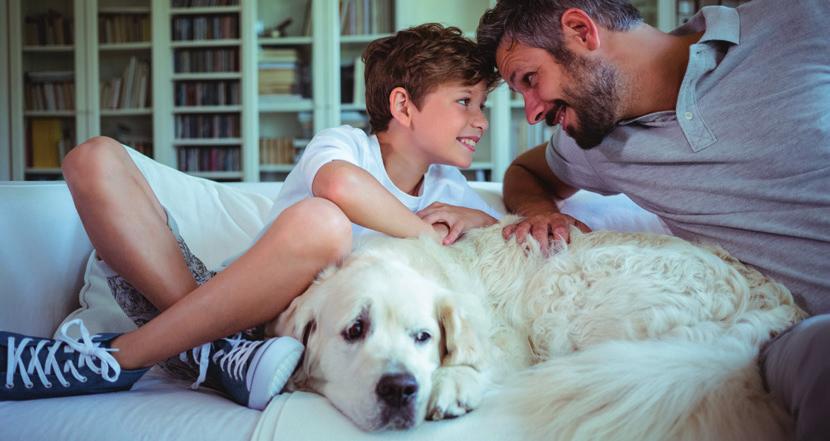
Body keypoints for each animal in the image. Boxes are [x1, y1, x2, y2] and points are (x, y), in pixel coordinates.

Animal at [270, 218, 808, 438]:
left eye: (423, 336)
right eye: (355, 329)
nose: (401, 390)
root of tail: (771, 297)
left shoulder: (509, 340)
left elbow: (480, 356)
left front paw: (453, 382)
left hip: (560, 287)